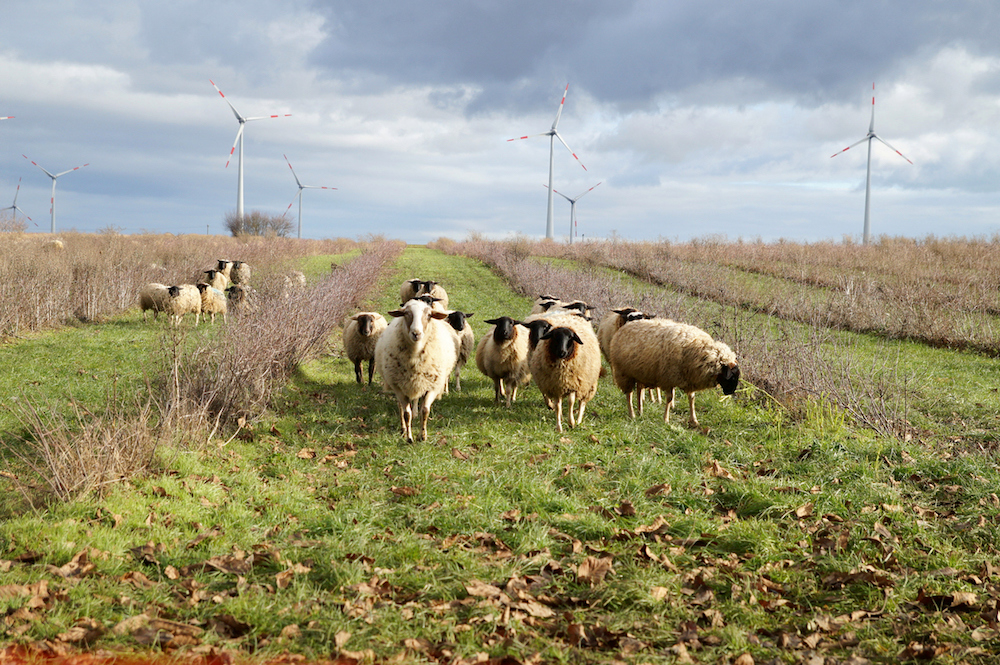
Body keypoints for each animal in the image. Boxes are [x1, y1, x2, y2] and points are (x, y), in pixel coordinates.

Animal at [374, 298, 456, 444]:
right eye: (406, 314)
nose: (416, 333)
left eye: (429, 315)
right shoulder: (399, 387)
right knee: (401, 407)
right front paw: (409, 437)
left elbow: (425, 410)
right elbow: (407, 414)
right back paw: (403, 429)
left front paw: (422, 436)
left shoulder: (433, 386)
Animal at [604, 318, 740, 426]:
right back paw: (632, 414)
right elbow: (669, 399)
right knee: (629, 394)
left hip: (641, 372)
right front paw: (666, 419)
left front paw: (694, 420)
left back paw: (640, 411)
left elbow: (692, 398)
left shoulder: (688, 378)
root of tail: (624, 327)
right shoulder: (668, 379)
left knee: (639, 391)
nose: (730, 392)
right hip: (624, 373)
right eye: (732, 376)